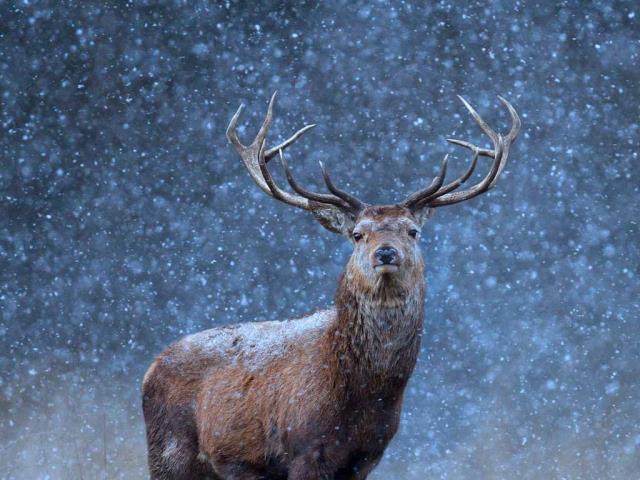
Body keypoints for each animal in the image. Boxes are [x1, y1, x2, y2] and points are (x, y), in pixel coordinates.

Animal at [142, 92, 520, 479]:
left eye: (413, 231)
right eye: (357, 234)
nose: (386, 252)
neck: (362, 395)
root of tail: (151, 367)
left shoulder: (366, 457)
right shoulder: (304, 449)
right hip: (170, 452)